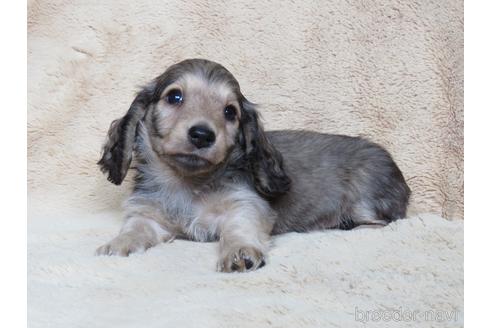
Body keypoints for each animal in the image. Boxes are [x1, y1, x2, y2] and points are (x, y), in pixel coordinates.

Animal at [96, 58, 412, 272]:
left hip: (365, 197)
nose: (202, 134)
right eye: (174, 96)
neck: (188, 183)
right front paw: (119, 243)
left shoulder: (245, 204)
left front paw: (239, 251)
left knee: (385, 222)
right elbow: (136, 228)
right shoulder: (148, 213)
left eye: (230, 111)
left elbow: (238, 228)